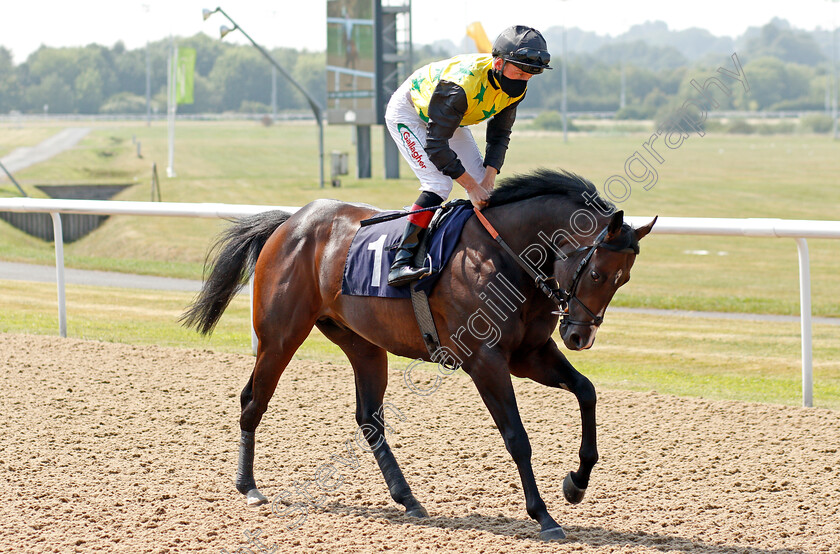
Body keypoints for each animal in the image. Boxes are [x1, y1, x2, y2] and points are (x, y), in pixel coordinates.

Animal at [182, 169, 656, 540]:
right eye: (597, 273)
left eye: (624, 279)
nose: (579, 335)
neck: (506, 257)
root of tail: (290, 222)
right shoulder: (485, 360)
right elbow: (516, 437)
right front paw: (543, 516)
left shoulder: (530, 353)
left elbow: (587, 391)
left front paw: (576, 483)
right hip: (281, 335)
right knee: (253, 400)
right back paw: (248, 486)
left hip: (363, 343)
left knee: (369, 418)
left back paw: (407, 498)